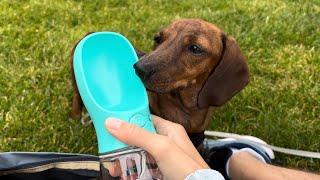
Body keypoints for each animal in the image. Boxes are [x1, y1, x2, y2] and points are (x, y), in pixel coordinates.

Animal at [70, 18, 250, 148]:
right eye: (158, 38)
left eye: (195, 48)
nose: (138, 68)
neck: (184, 110)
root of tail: (92, 32)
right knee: (77, 97)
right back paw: (75, 116)